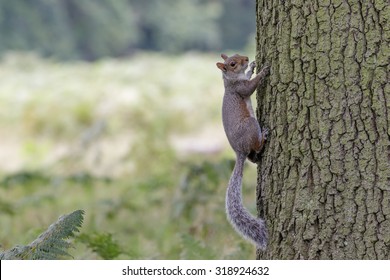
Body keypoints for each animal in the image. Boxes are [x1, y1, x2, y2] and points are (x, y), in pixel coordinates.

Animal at [215, 53, 270, 250]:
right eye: (232, 64)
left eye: (238, 56)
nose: (246, 59)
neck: (231, 79)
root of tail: (239, 151)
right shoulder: (240, 88)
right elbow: (250, 87)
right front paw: (262, 71)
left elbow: (247, 77)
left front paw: (252, 67)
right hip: (251, 126)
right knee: (256, 145)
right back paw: (264, 137)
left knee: (252, 157)